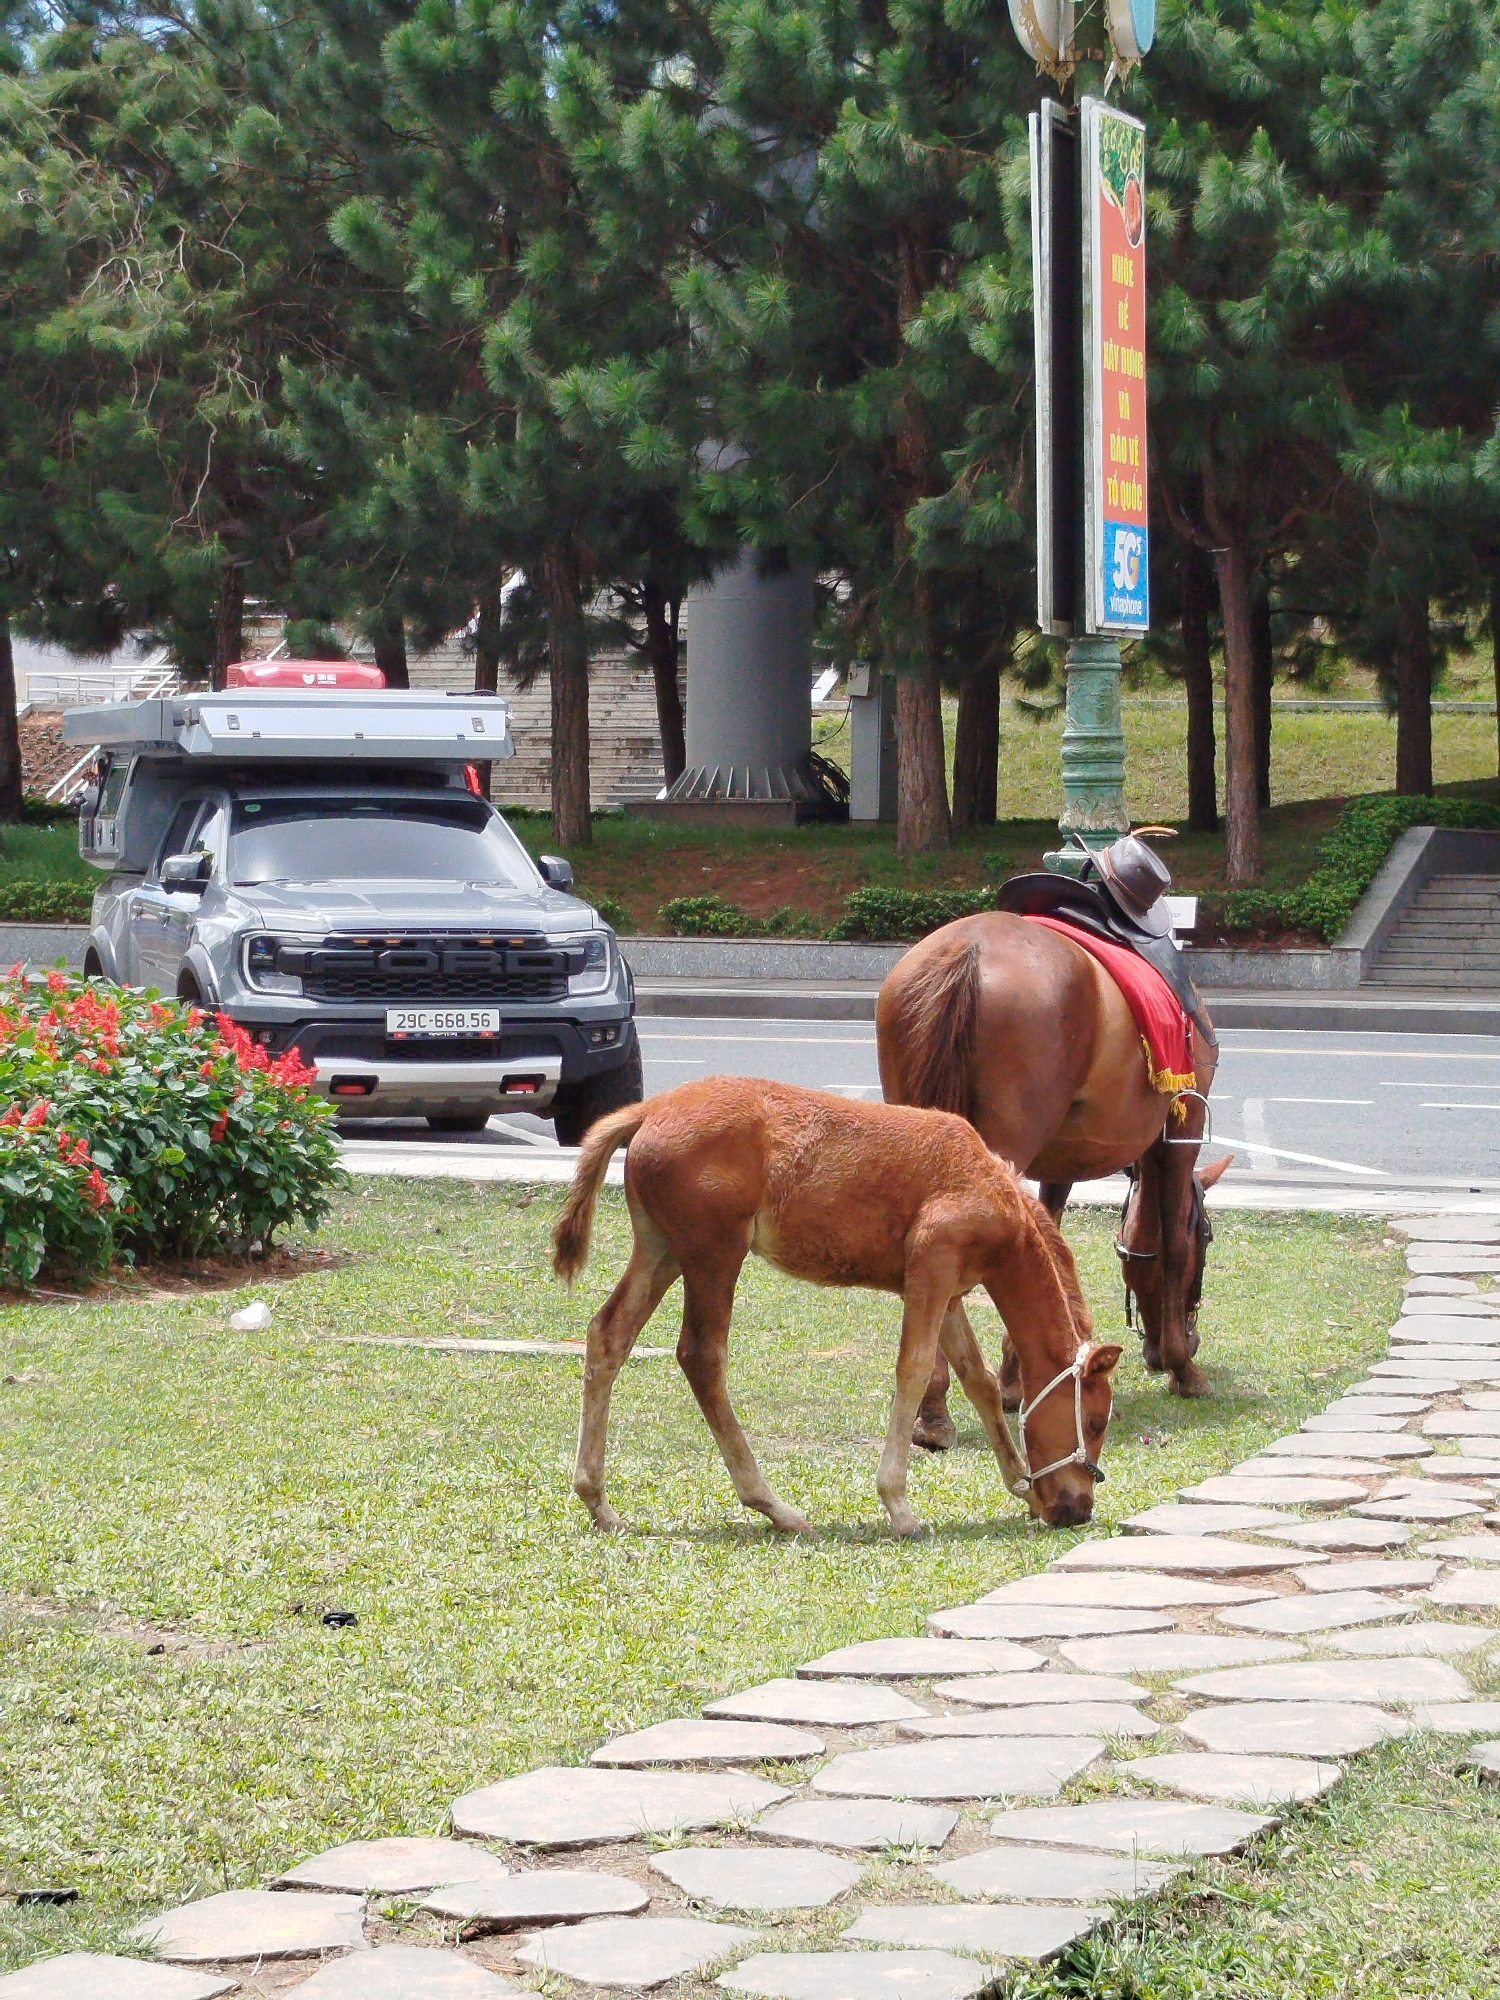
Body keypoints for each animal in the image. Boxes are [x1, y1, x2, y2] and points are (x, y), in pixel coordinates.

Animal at [552, 1076, 1123, 1537]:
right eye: (1096, 1423)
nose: (1077, 1511)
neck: (990, 1187)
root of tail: (648, 1109)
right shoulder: (931, 1270)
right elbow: (913, 1371)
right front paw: (899, 1507)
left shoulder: (948, 1291)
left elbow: (977, 1379)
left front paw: (1022, 1487)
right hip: (714, 1255)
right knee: (701, 1357)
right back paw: (773, 1506)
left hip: (661, 1250)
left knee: (609, 1334)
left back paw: (598, 1502)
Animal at [876, 913, 1224, 1428]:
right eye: (1208, 1239)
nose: (1163, 1352)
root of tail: (967, 950)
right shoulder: (1180, 1133)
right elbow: (1173, 1247)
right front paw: (1185, 1369)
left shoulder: (1063, 1158)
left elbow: (1049, 1243)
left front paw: (1016, 1377)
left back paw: (931, 1405)